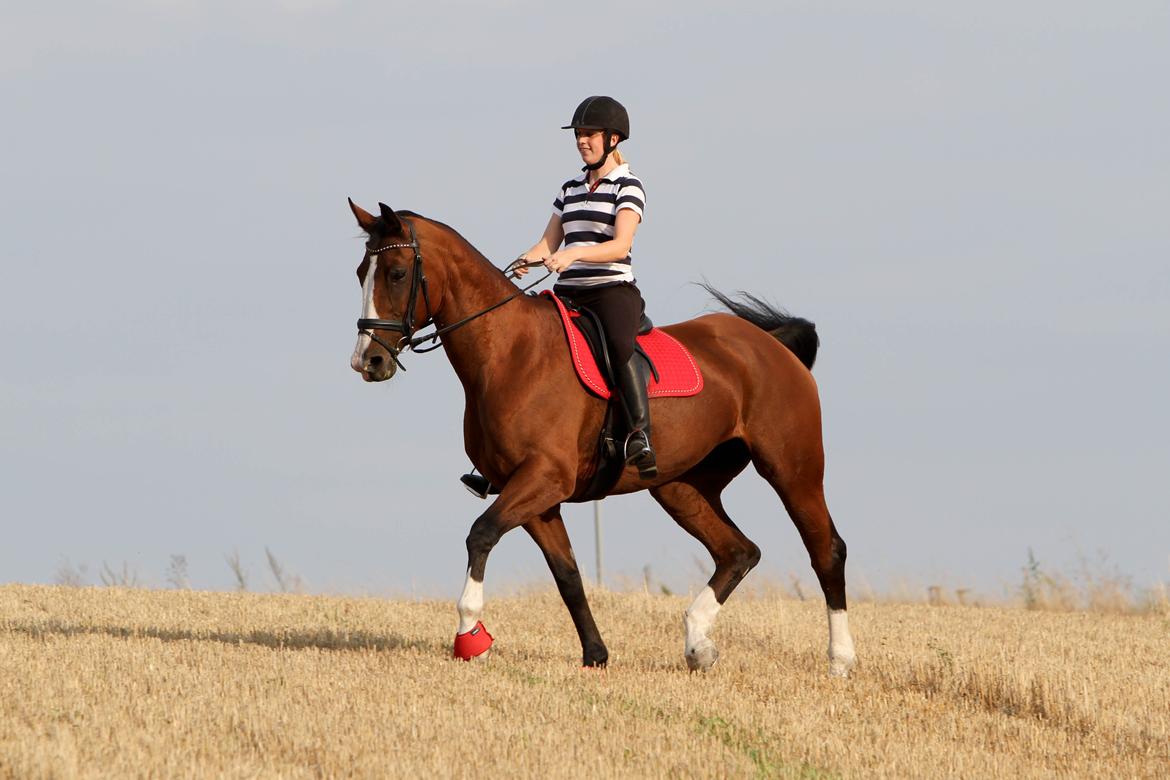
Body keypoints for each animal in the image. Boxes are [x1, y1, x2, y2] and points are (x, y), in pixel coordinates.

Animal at [341, 199, 856, 678]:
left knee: (826, 550)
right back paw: (698, 645)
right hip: (682, 486)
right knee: (738, 551)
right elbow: (567, 574)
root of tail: (770, 345)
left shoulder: (544, 479)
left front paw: (471, 633)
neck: (510, 355)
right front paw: (596, 656)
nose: (368, 362)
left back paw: (840, 660)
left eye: (397, 273)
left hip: (792, 470)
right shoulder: (536, 495)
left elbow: (481, 534)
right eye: (362, 272)